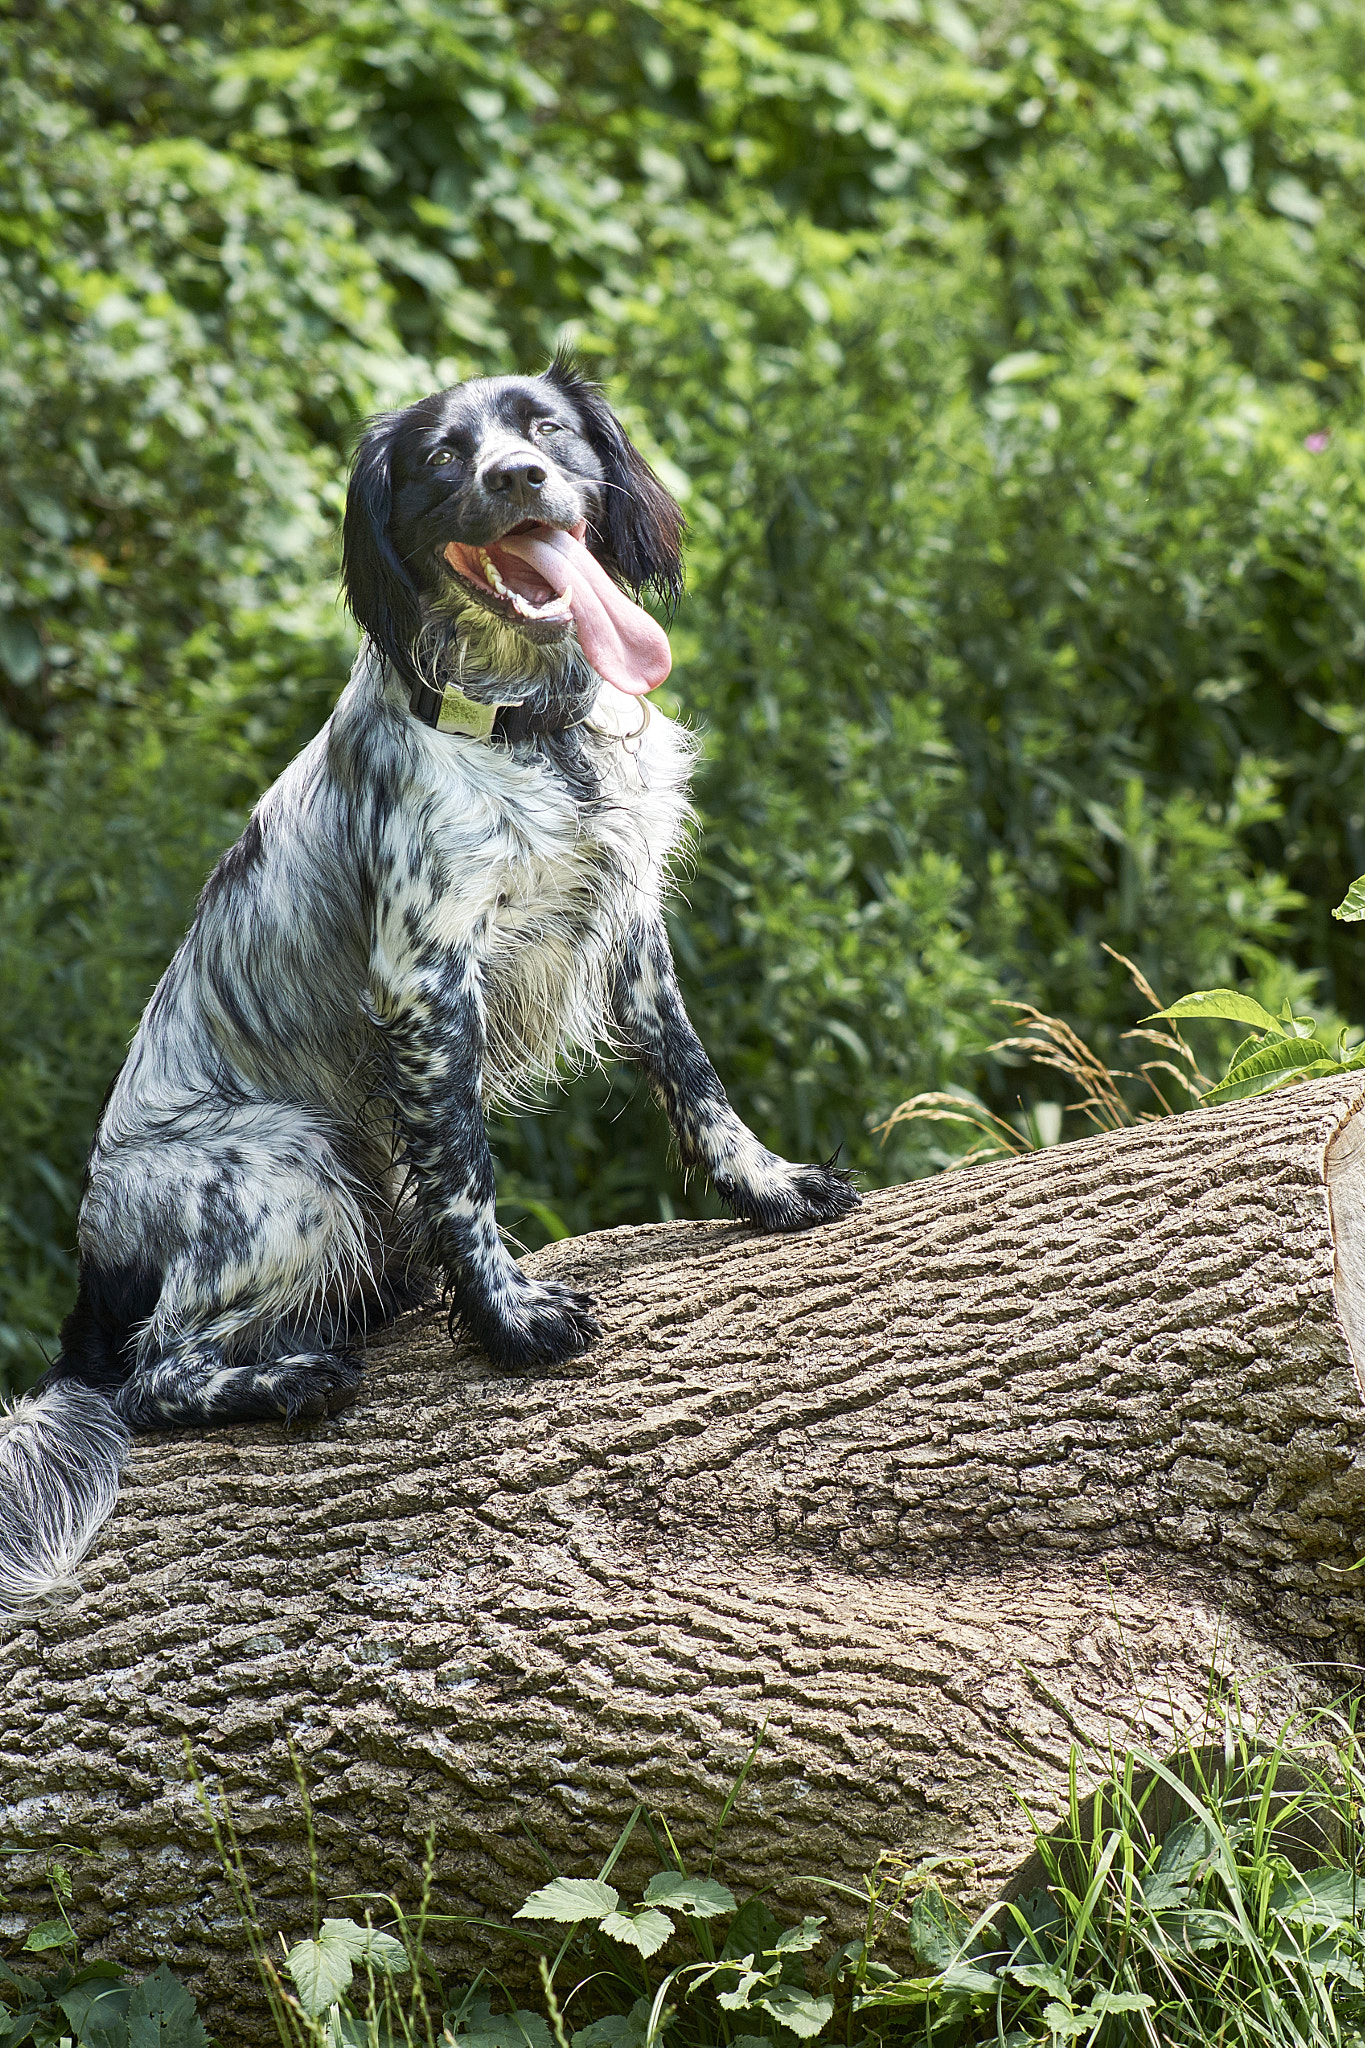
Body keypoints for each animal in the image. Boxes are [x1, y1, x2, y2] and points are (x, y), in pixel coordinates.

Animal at [0, 364, 855, 1613]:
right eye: (444, 458)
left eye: (545, 428)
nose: (517, 477)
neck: (533, 729)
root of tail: (92, 1267)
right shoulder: (429, 978)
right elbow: (465, 1172)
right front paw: (509, 1319)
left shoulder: (631, 928)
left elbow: (695, 1079)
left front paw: (772, 1188)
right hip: (289, 1167)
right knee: (156, 1375)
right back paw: (289, 1378)